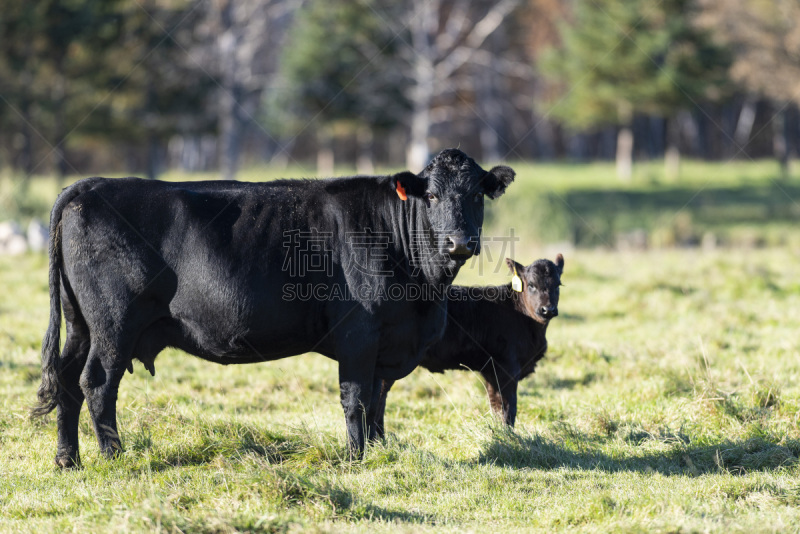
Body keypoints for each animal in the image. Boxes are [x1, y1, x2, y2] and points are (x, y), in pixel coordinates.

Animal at [34, 149, 516, 466]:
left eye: (476, 195)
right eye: (430, 196)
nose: (459, 242)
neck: (423, 295)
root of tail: (91, 184)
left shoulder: (389, 345)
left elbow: (379, 401)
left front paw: (380, 451)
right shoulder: (359, 334)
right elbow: (357, 399)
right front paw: (356, 459)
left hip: (81, 324)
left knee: (66, 380)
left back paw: (68, 460)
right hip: (113, 324)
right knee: (97, 383)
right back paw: (114, 457)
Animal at [374, 255, 564, 436]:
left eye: (558, 285)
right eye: (531, 284)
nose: (547, 310)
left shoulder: (491, 371)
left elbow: (496, 406)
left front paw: (500, 435)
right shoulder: (507, 368)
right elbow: (508, 408)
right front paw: (510, 437)